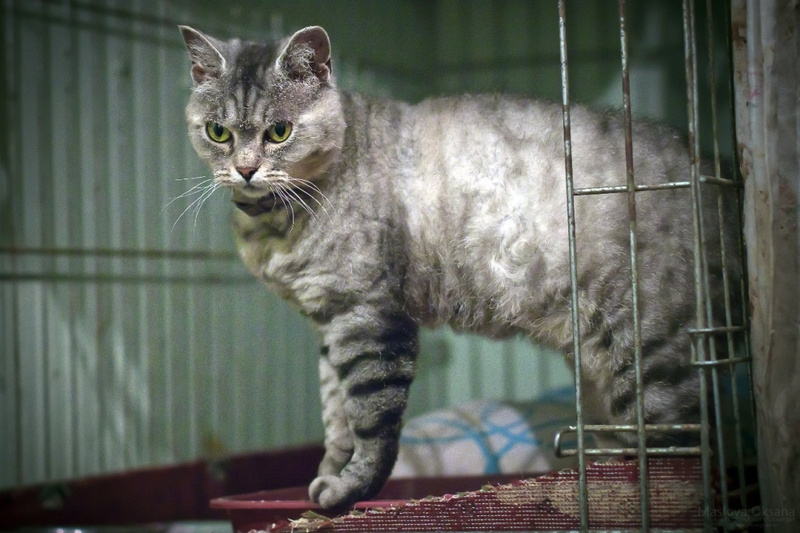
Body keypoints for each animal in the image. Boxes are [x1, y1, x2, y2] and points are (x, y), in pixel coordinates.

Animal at [178, 24, 738, 509]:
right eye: (218, 132)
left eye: (279, 131)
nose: (245, 170)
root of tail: (712, 175)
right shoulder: (330, 322)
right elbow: (335, 416)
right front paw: (329, 474)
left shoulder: (368, 317)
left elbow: (370, 419)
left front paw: (350, 491)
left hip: (652, 355)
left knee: (684, 449)